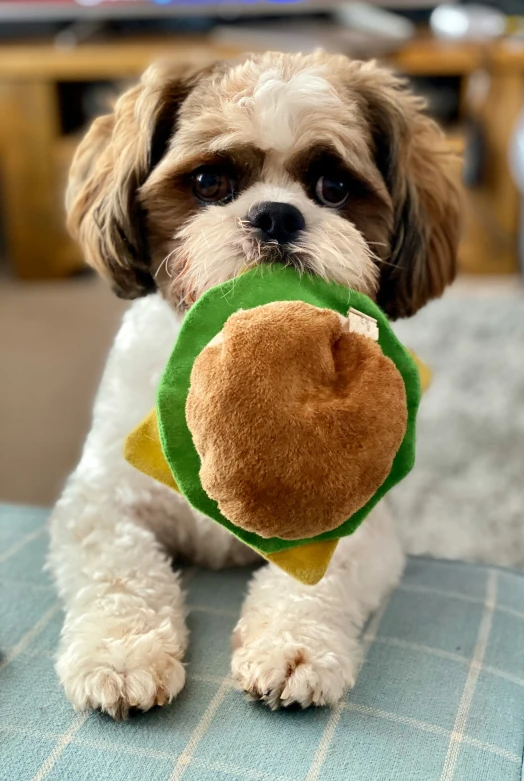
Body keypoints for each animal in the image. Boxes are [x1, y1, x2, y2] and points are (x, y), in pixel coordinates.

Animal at [48, 50, 458, 720]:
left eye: (333, 187)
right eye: (209, 182)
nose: (276, 215)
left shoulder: (362, 524)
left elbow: (317, 579)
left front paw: (294, 647)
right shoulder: (99, 500)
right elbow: (121, 569)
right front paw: (123, 653)